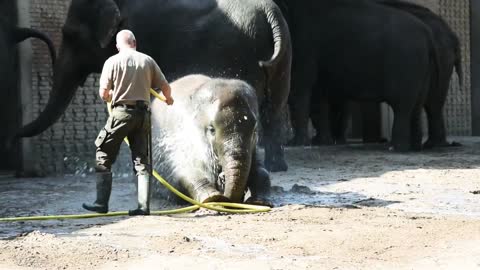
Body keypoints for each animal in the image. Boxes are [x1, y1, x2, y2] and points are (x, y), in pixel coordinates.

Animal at [13, 0, 292, 172]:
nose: (10, 136)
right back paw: (277, 166)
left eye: (70, 35)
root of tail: (271, 13)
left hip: (239, 52)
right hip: (282, 57)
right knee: (274, 110)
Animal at [151, 74, 270, 205]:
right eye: (211, 129)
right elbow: (186, 171)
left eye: (254, 130)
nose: (223, 178)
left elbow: (262, 172)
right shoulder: (179, 139)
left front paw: (259, 202)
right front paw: (213, 198)